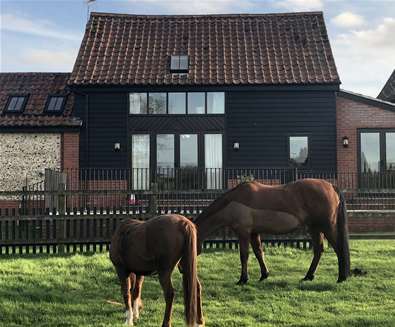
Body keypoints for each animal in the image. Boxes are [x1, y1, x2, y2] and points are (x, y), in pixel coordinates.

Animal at [194, 179, 350, 284]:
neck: (234, 201)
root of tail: (331, 186)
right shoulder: (254, 233)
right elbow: (258, 252)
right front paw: (264, 274)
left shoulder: (243, 232)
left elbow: (244, 255)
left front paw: (243, 279)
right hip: (315, 228)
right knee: (319, 250)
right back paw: (308, 276)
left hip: (326, 226)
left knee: (338, 248)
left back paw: (341, 277)